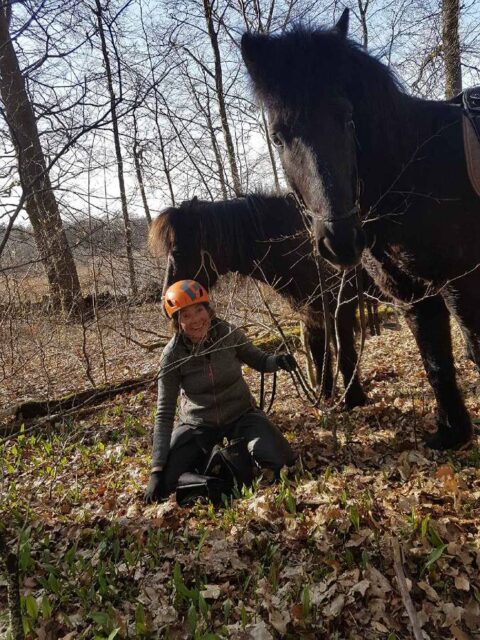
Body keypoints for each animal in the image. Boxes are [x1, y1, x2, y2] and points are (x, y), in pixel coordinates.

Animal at [242, 10, 478, 450]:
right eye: (278, 136)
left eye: (348, 119)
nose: (340, 241)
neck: (419, 170)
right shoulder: (410, 294)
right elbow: (436, 361)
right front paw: (452, 433)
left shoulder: (462, 282)